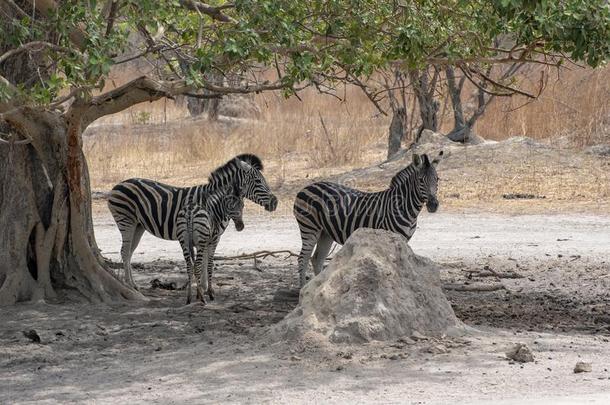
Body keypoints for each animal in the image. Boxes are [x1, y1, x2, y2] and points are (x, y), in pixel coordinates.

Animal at [107, 152, 276, 290]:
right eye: (258, 181)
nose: (275, 202)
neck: (215, 200)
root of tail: (117, 185)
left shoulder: (209, 234)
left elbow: (205, 258)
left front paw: (203, 285)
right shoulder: (207, 233)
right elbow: (205, 259)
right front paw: (203, 286)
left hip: (138, 225)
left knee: (129, 252)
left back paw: (133, 284)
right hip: (126, 220)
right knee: (124, 251)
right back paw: (129, 285)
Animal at [290, 152, 440, 288]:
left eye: (437, 179)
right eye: (421, 180)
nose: (433, 205)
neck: (403, 207)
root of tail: (306, 187)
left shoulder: (404, 240)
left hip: (325, 233)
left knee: (317, 259)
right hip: (309, 227)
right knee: (303, 258)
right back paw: (302, 290)